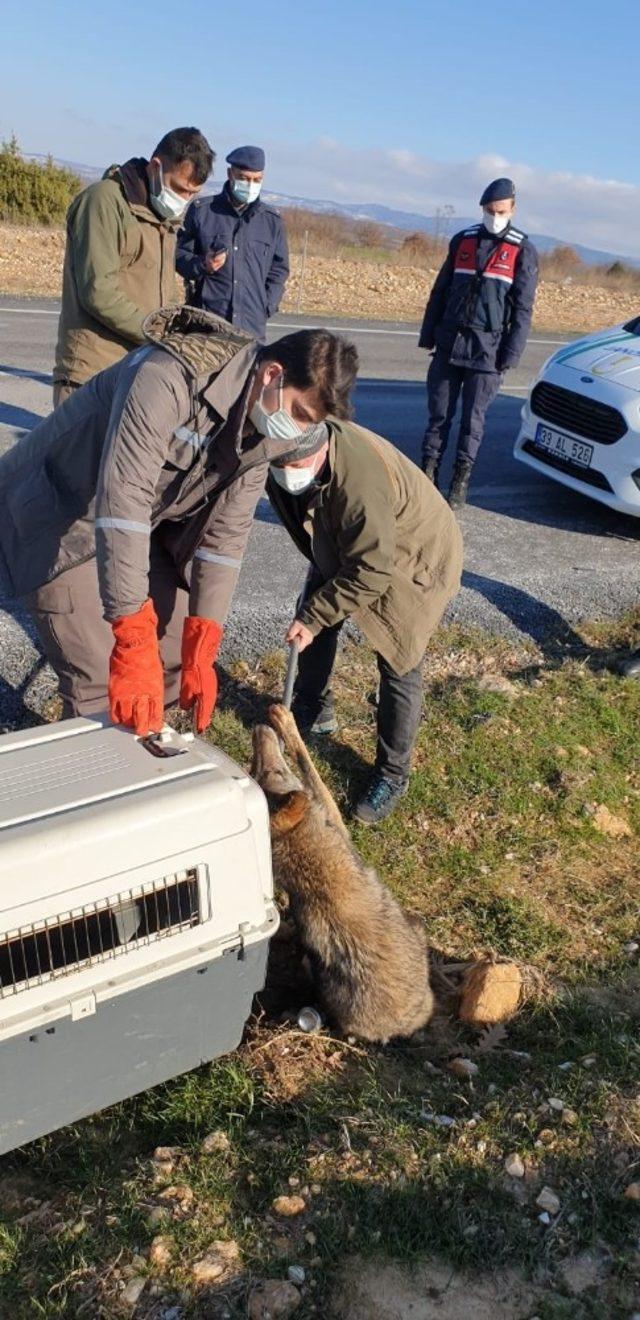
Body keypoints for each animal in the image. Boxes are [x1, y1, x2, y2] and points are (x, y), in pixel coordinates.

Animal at [250, 702, 432, 1040]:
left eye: (269, 772)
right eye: (259, 772)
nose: (260, 729)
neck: (311, 858)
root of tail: (405, 1026)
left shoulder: (333, 821)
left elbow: (310, 768)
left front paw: (284, 720)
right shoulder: (334, 821)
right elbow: (310, 767)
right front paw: (285, 721)